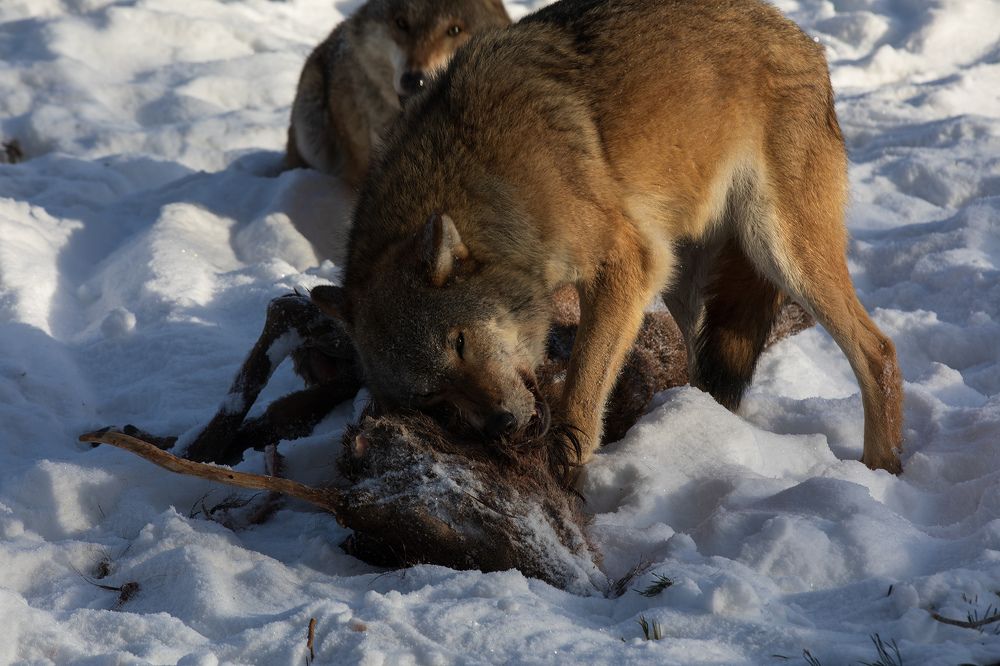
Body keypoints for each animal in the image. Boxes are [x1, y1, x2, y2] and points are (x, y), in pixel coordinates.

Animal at [312, 0, 905, 473]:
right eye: (434, 397)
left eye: (459, 342)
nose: (501, 424)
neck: (489, 184)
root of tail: (801, 38)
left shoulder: (626, 265)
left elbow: (579, 395)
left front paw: (567, 472)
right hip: (685, 281)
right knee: (706, 368)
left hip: (776, 251)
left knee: (878, 350)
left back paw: (882, 469)